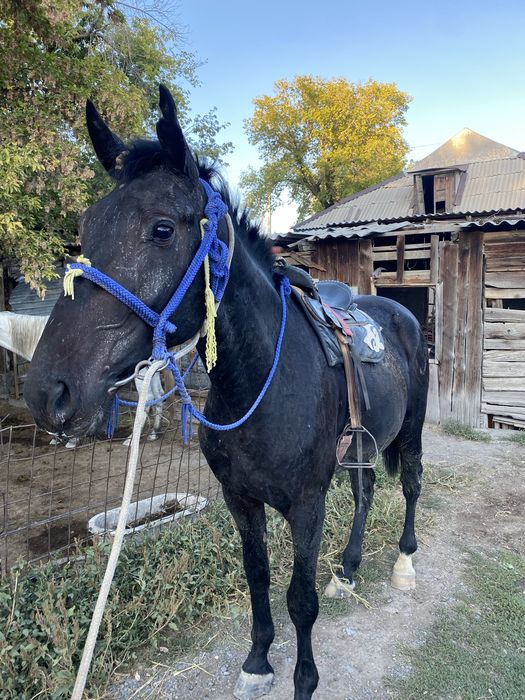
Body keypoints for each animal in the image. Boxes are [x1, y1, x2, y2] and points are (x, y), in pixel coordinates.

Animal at [24, 86, 429, 700]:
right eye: (86, 223)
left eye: (162, 229)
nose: (48, 392)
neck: (262, 384)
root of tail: (399, 312)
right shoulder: (242, 500)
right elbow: (258, 578)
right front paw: (258, 661)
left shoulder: (306, 505)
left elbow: (299, 600)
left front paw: (303, 680)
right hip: (361, 446)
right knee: (365, 495)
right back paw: (348, 568)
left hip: (410, 431)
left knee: (408, 486)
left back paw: (403, 563)